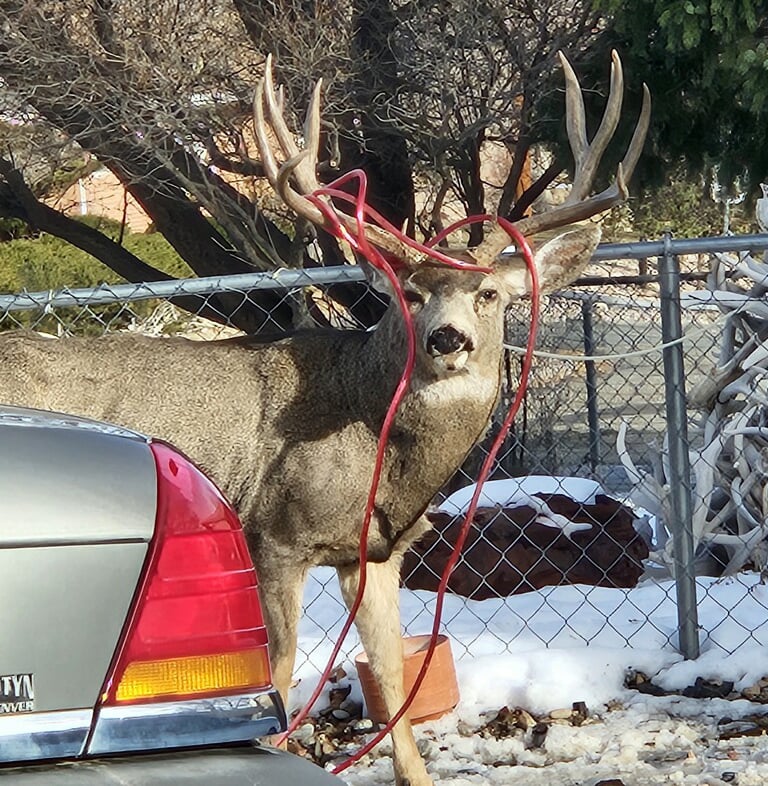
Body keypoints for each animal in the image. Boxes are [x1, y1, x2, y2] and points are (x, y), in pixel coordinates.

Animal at [0, 52, 649, 786]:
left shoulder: (377, 552)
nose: (447, 339)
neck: (377, 447)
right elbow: (279, 681)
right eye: (411, 294)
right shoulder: (274, 536)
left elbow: (394, 680)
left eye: (487, 293)